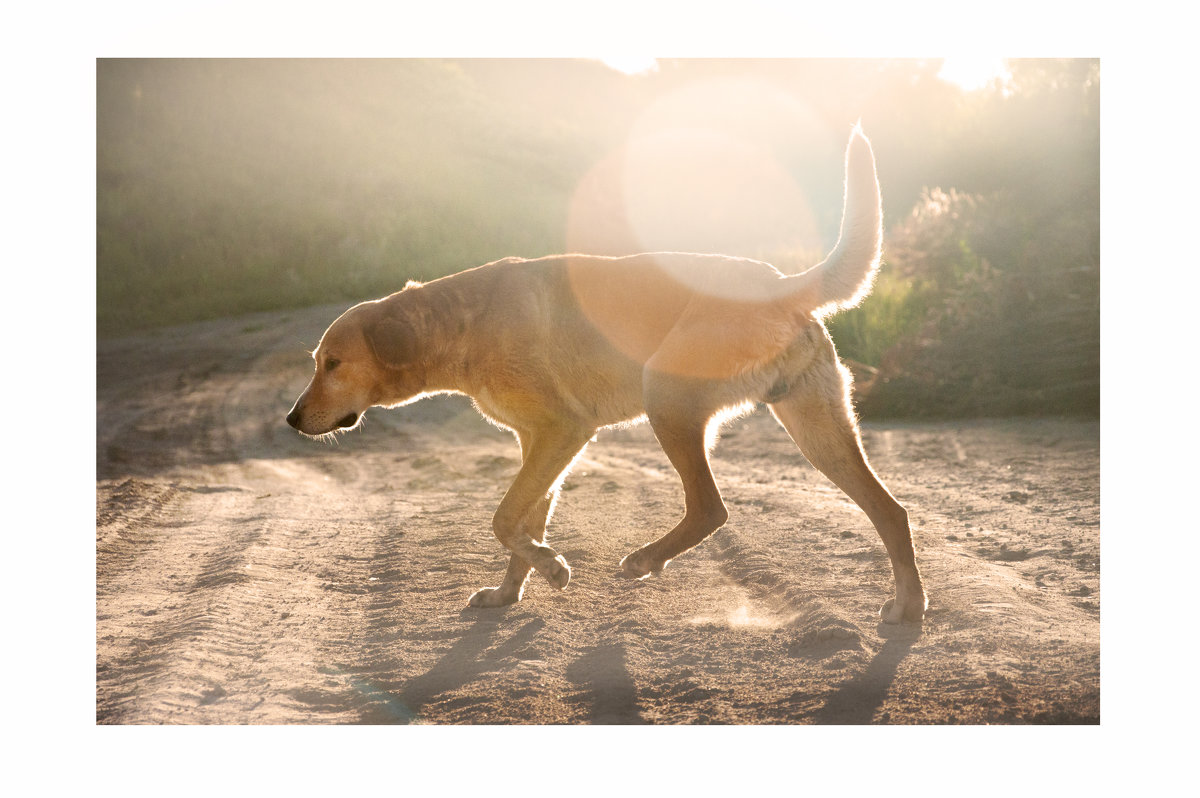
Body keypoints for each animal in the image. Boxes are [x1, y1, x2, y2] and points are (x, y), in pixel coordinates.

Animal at [288, 126, 926, 624]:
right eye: (317, 363)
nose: (291, 419)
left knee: (711, 508)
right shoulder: (538, 443)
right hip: (817, 428)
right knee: (891, 511)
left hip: (668, 398)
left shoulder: (563, 431)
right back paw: (908, 607)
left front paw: (551, 568)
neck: (464, 321)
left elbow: (503, 518)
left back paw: (646, 559)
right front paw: (510, 592)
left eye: (333, 364)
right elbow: (522, 522)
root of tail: (780, 283)